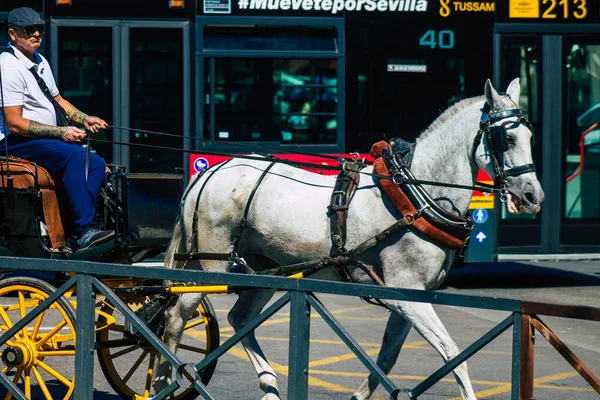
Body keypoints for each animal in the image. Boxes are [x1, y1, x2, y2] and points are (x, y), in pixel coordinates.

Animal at [154, 77, 544, 396]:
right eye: (506, 138)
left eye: (530, 137)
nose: (532, 195)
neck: (414, 194)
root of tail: (210, 171)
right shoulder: (407, 293)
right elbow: (453, 355)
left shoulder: (409, 297)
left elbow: (387, 356)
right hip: (210, 266)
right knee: (177, 315)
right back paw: (163, 380)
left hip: (264, 268)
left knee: (240, 318)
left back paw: (268, 383)